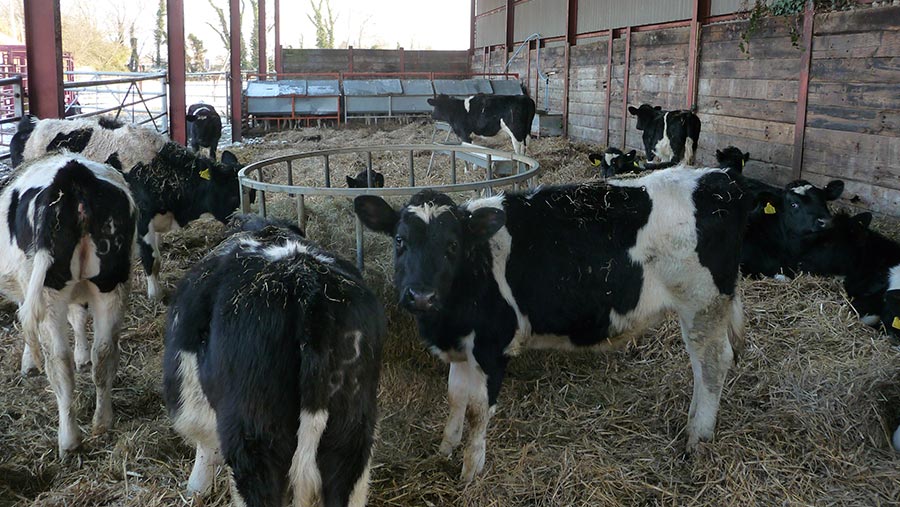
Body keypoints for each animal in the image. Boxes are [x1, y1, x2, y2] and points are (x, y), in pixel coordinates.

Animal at [0, 153, 137, 458]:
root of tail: (72, 173)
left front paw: (28, 362)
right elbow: (78, 319)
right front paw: (82, 356)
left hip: (48, 289)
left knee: (58, 362)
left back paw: (69, 440)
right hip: (111, 283)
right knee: (104, 352)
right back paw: (102, 422)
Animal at [356, 169, 748, 482]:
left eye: (452, 244)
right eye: (400, 240)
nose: (421, 295)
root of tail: (716, 179)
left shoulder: (492, 346)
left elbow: (478, 411)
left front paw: (470, 471)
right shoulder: (463, 347)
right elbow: (455, 397)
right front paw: (445, 448)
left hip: (702, 305)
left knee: (712, 365)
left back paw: (697, 437)